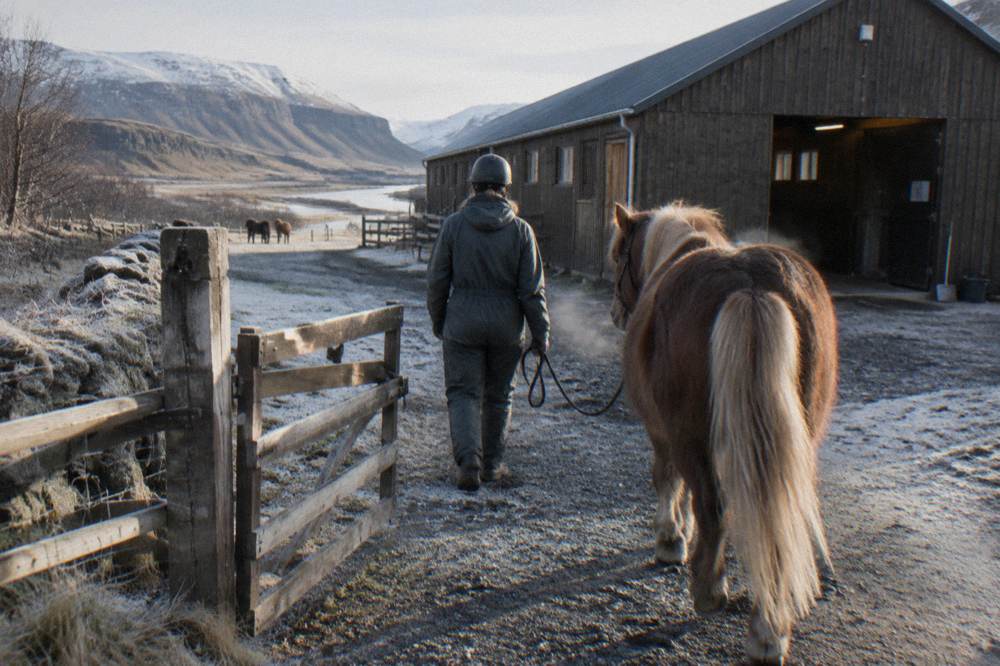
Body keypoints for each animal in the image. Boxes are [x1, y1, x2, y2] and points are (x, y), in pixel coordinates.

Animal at [608, 202, 838, 664]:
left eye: (618, 256)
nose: (616, 313)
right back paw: (769, 632)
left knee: (713, 506)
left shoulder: (662, 433)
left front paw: (671, 539)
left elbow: (668, 481)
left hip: (691, 437)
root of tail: (751, 286)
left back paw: (709, 593)